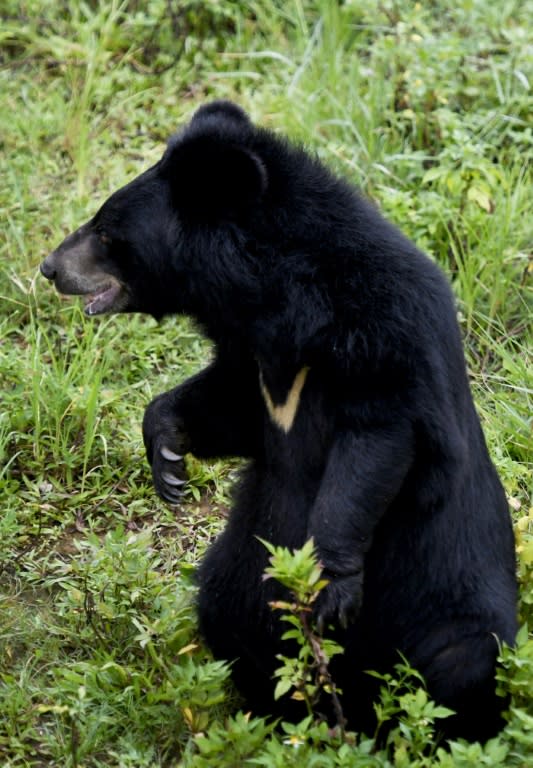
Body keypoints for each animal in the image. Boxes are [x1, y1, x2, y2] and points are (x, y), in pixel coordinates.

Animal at [41, 99, 516, 740]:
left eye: (108, 232)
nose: (49, 268)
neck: (280, 302)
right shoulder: (255, 358)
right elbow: (232, 406)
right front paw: (167, 458)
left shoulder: (381, 338)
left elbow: (375, 445)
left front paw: (332, 586)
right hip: (244, 571)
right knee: (230, 616)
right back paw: (276, 717)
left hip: (450, 608)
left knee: (459, 665)